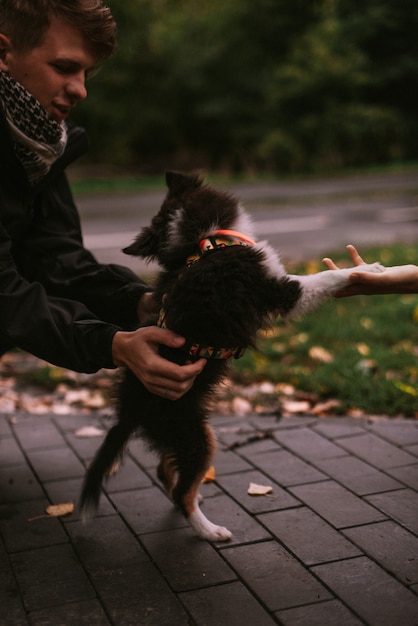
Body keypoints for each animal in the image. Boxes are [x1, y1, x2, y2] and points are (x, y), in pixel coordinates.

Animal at [80, 172, 384, 540]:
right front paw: (370, 269)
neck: (203, 241)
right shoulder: (278, 290)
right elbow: (324, 278)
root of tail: (130, 412)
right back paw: (209, 530)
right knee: (182, 490)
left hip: (176, 435)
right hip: (195, 435)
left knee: (167, 473)